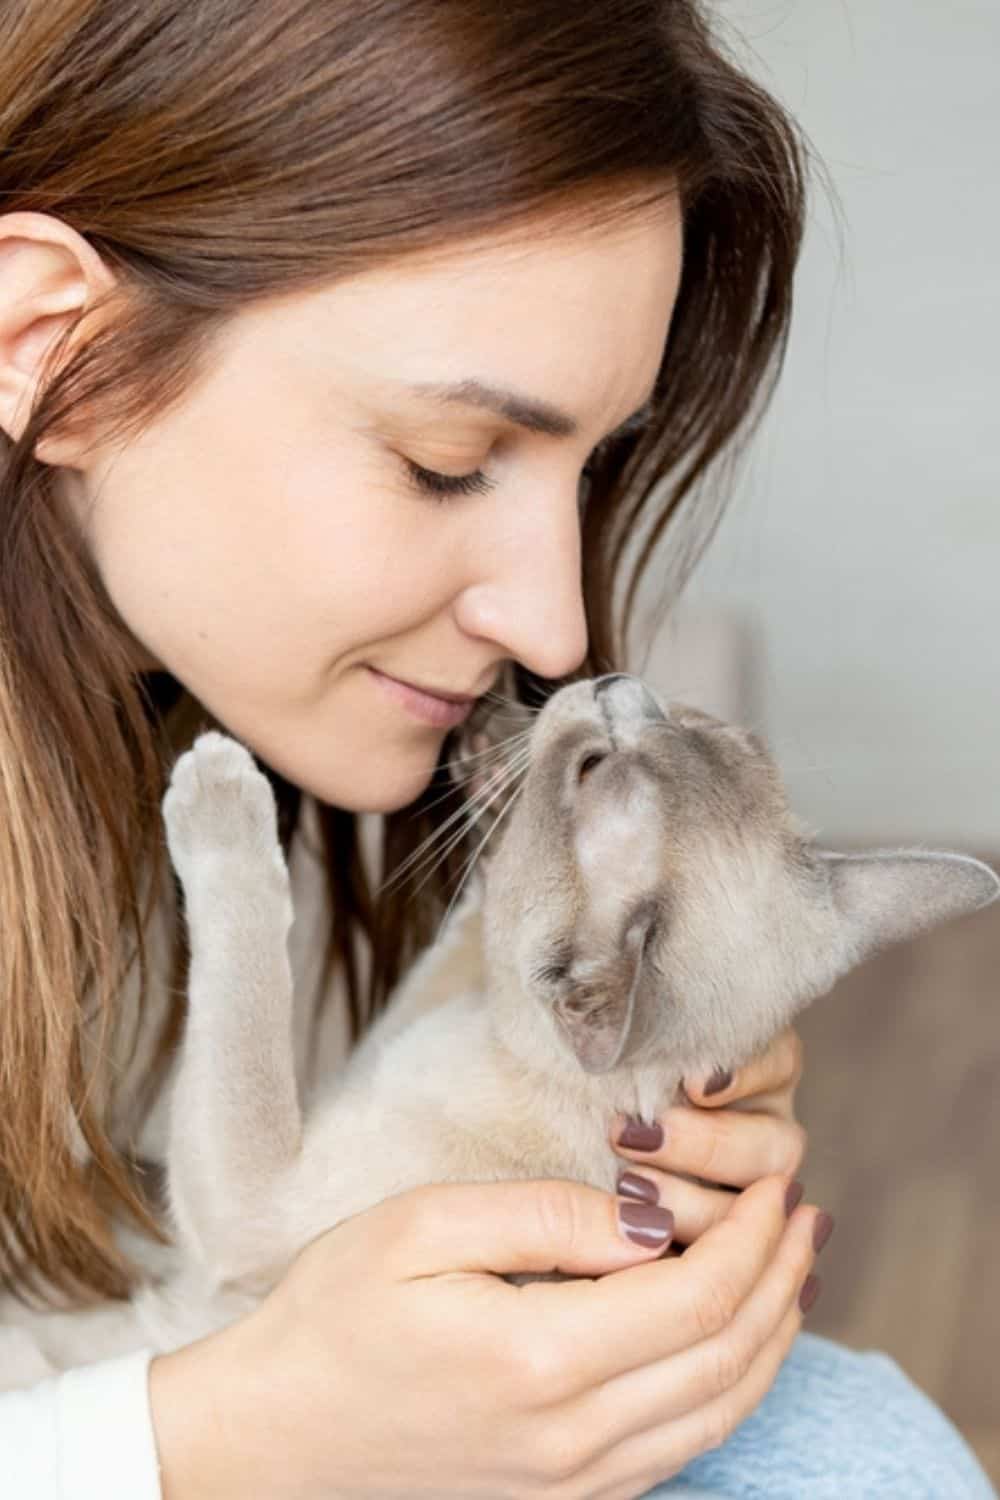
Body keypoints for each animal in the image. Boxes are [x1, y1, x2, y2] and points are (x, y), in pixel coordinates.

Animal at [3, 675, 995, 1386]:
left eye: (589, 770)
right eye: (700, 725)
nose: (613, 681)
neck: (492, 1043)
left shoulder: (250, 1199)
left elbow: (249, 971)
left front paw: (218, 783)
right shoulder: (390, 1044)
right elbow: (463, 937)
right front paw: (482, 774)